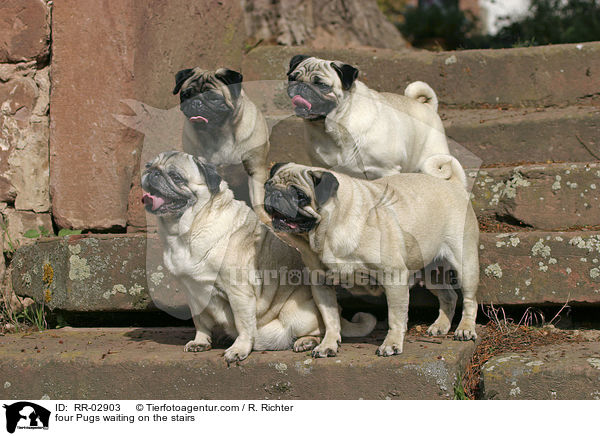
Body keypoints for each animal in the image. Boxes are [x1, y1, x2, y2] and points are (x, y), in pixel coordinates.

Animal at [141, 152, 376, 362]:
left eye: (176, 176)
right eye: (149, 165)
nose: (152, 172)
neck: (189, 229)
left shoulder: (239, 292)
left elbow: (244, 324)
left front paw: (239, 349)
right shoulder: (193, 293)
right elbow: (200, 322)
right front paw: (201, 341)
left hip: (297, 314)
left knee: (321, 328)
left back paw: (306, 342)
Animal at [172, 66, 268, 216]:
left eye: (214, 98)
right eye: (186, 95)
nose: (196, 102)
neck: (219, 133)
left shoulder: (255, 170)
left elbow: (258, 201)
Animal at [264, 162, 480, 356]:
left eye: (300, 196)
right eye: (267, 185)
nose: (274, 194)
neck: (328, 232)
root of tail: (453, 184)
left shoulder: (394, 277)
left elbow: (395, 317)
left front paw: (391, 344)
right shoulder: (321, 285)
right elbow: (331, 319)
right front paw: (328, 344)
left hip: (465, 264)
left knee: (470, 300)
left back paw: (465, 329)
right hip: (430, 272)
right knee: (449, 296)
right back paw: (441, 325)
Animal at [288, 54, 468, 184]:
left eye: (322, 85)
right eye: (292, 78)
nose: (300, 86)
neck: (335, 128)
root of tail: (427, 107)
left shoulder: (387, 171)